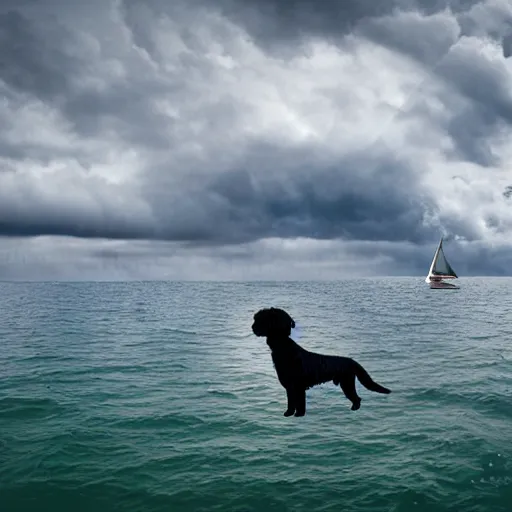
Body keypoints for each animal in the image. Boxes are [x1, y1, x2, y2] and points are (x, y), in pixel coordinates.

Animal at [253, 308, 392, 416]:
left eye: (261, 319)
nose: (252, 327)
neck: (284, 347)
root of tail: (352, 361)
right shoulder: (290, 386)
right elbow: (291, 402)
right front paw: (288, 414)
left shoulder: (297, 386)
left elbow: (299, 403)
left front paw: (298, 415)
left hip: (346, 383)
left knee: (356, 397)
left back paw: (354, 410)